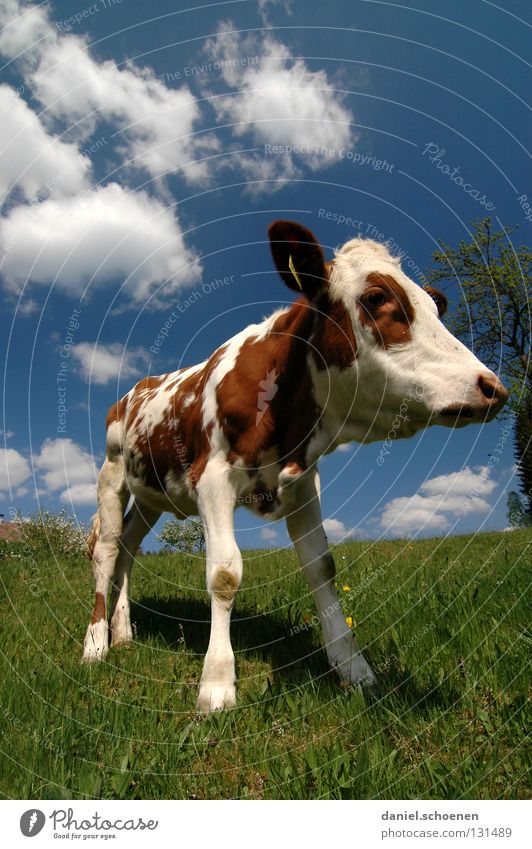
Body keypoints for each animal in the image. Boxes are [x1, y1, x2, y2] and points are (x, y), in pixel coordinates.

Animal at [82, 222, 508, 712]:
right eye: (377, 298)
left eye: (434, 306)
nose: (493, 387)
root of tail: (138, 388)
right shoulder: (212, 478)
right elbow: (224, 573)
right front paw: (217, 684)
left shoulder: (305, 484)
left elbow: (322, 567)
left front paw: (354, 668)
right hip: (112, 473)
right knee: (107, 550)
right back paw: (96, 644)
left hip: (152, 495)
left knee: (129, 547)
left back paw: (124, 633)